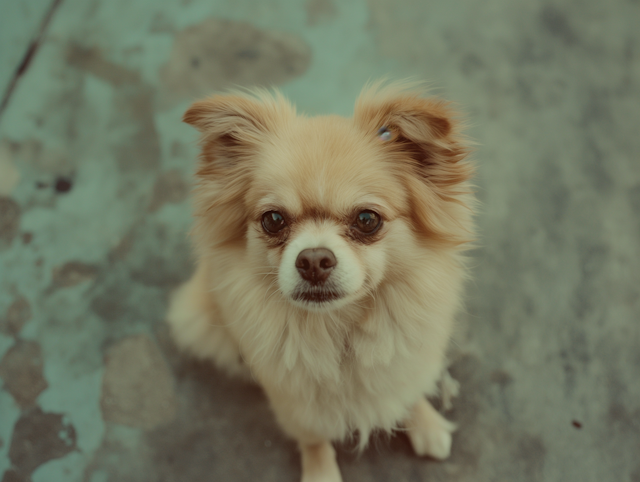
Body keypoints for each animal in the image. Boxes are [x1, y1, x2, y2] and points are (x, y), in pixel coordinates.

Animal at [166, 81, 476, 480]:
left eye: (367, 219)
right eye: (273, 220)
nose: (313, 259)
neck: (339, 328)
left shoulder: (408, 354)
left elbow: (406, 387)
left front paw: (425, 422)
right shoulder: (293, 401)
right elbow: (313, 439)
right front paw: (320, 473)